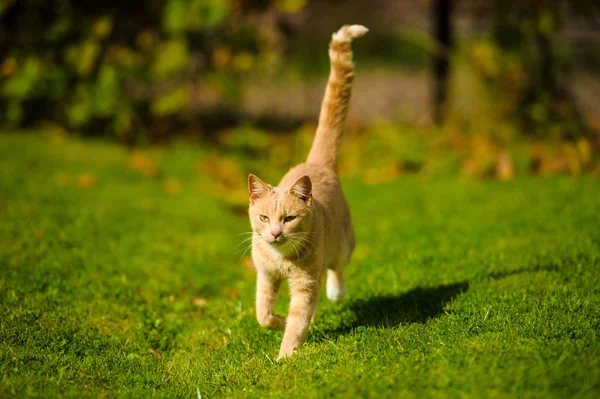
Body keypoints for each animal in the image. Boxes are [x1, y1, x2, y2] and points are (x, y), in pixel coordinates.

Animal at [247, 25, 368, 362]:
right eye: (264, 218)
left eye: (289, 218)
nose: (275, 233)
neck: (281, 258)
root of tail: (316, 163)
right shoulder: (265, 277)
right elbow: (263, 314)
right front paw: (278, 321)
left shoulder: (306, 283)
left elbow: (298, 319)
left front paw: (286, 357)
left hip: (343, 243)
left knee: (337, 268)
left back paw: (336, 292)